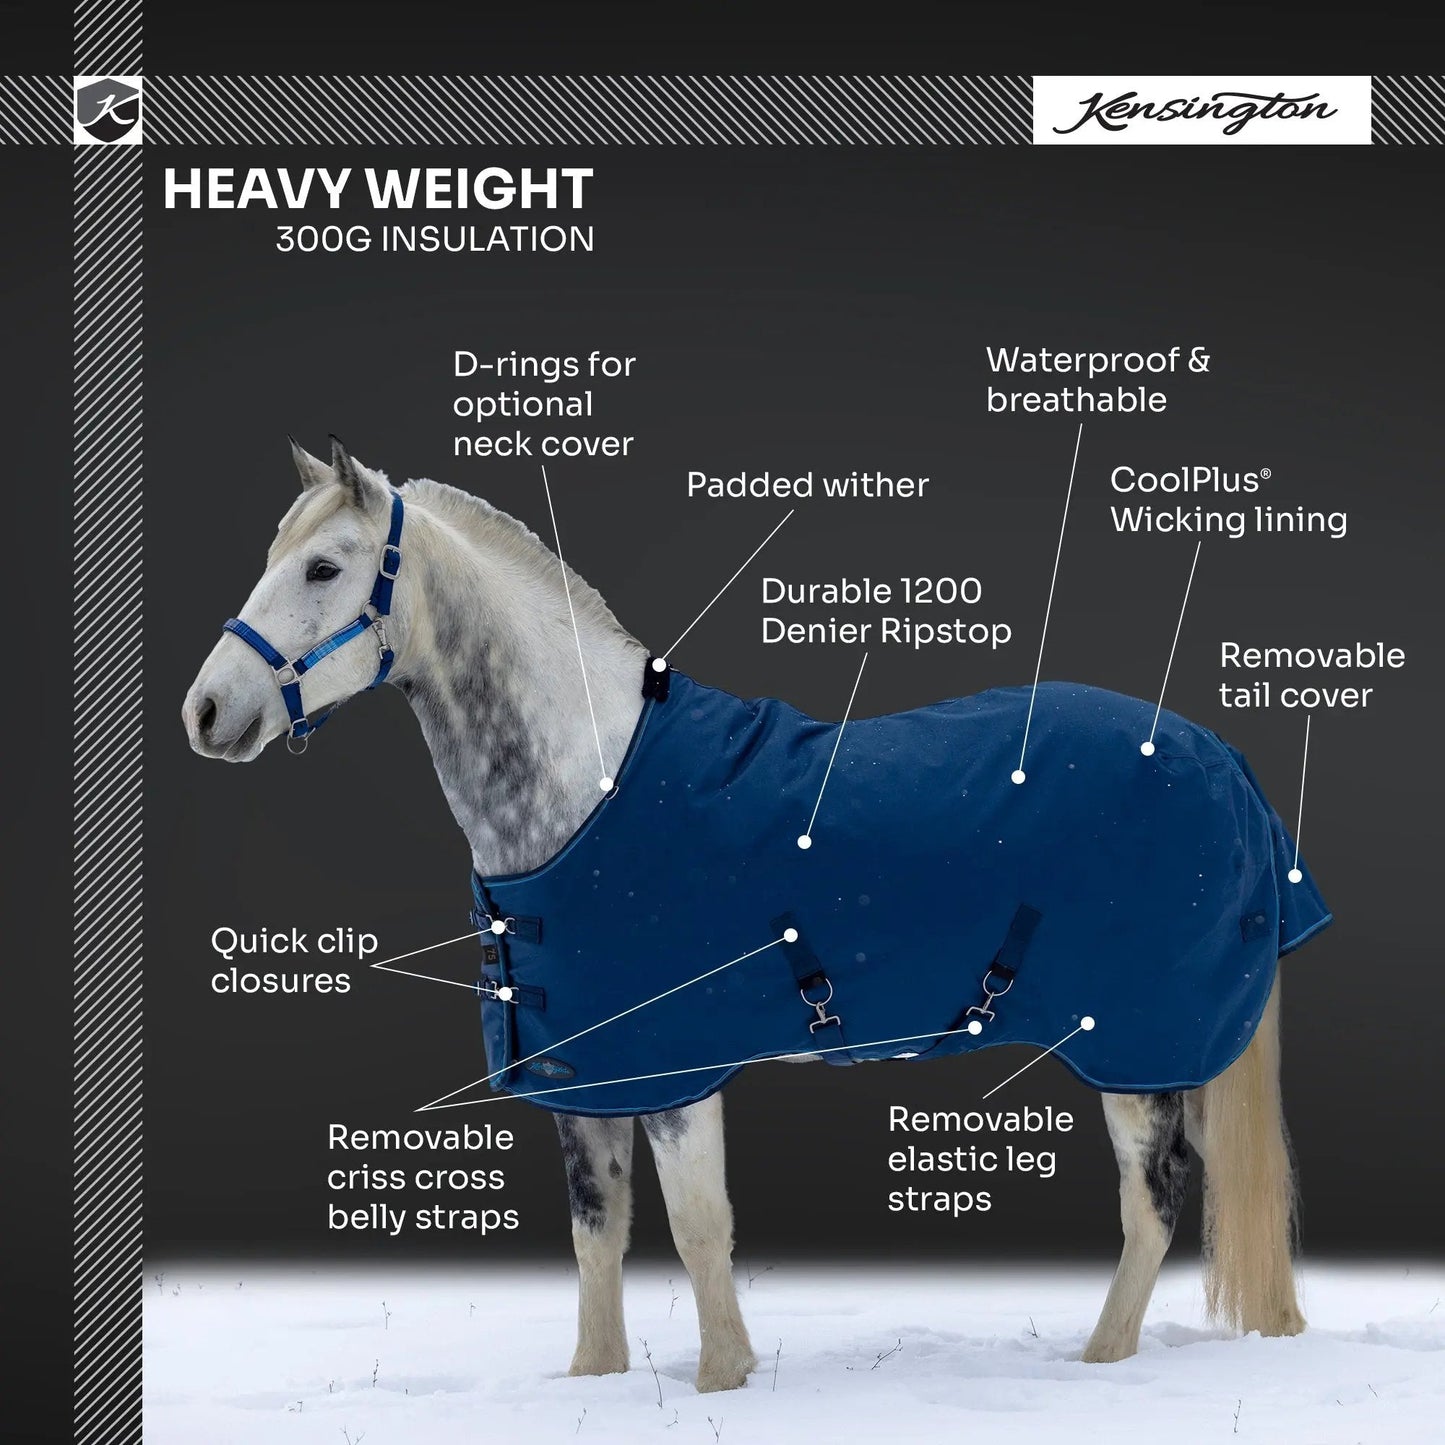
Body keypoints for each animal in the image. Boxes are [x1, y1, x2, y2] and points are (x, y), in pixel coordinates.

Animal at [183, 438, 1308, 1393]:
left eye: (323, 568)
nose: (206, 710)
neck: (589, 789)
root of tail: (1219, 756)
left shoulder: (679, 1064)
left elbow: (695, 1225)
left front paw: (721, 1378)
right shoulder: (590, 1073)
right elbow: (598, 1233)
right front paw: (594, 1379)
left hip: (1129, 1046)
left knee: (1153, 1197)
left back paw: (1099, 1363)